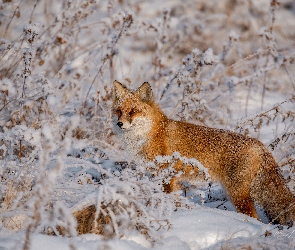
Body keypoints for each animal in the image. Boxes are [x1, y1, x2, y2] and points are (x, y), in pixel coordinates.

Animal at [112, 79, 295, 225]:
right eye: (119, 111)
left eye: (133, 111)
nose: (119, 124)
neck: (151, 134)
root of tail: (261, 146)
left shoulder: (167, 175)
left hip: (238, 196)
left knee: (255, 218)